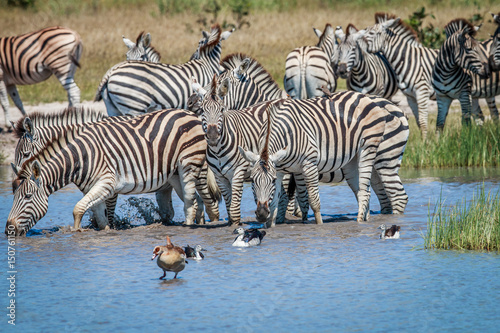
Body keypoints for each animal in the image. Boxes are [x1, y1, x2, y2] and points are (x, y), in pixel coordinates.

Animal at [5, 107, 219, 235]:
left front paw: (77, 233)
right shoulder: (92, 188)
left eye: (27, 197)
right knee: (196, 202)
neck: (80, 156)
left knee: (197, 202)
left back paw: (192, 226)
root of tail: (191, 113)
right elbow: (99, 216)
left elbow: (82, 209)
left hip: (190, 166)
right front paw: (105, 231)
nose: (8, 230)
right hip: (175, 176)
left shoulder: (108, 184)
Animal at [95, 24, 234, 116]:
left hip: (113, 108)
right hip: (133, 105)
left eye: (142, 56)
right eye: (127, 55)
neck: (207, 62)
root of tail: (111, 72)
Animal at [239, 91, 410, 226]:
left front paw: (318, 226)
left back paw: (365, 222)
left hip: (374, 152)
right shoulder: (281, 169)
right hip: (353, 160)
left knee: (391, 195)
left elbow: (312, 201)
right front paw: (270, 226)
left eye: (273, 180)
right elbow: (276, 201)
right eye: (252, 180)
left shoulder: (308, 164)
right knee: (368, 192)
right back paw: (366, 219)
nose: (261, 214)